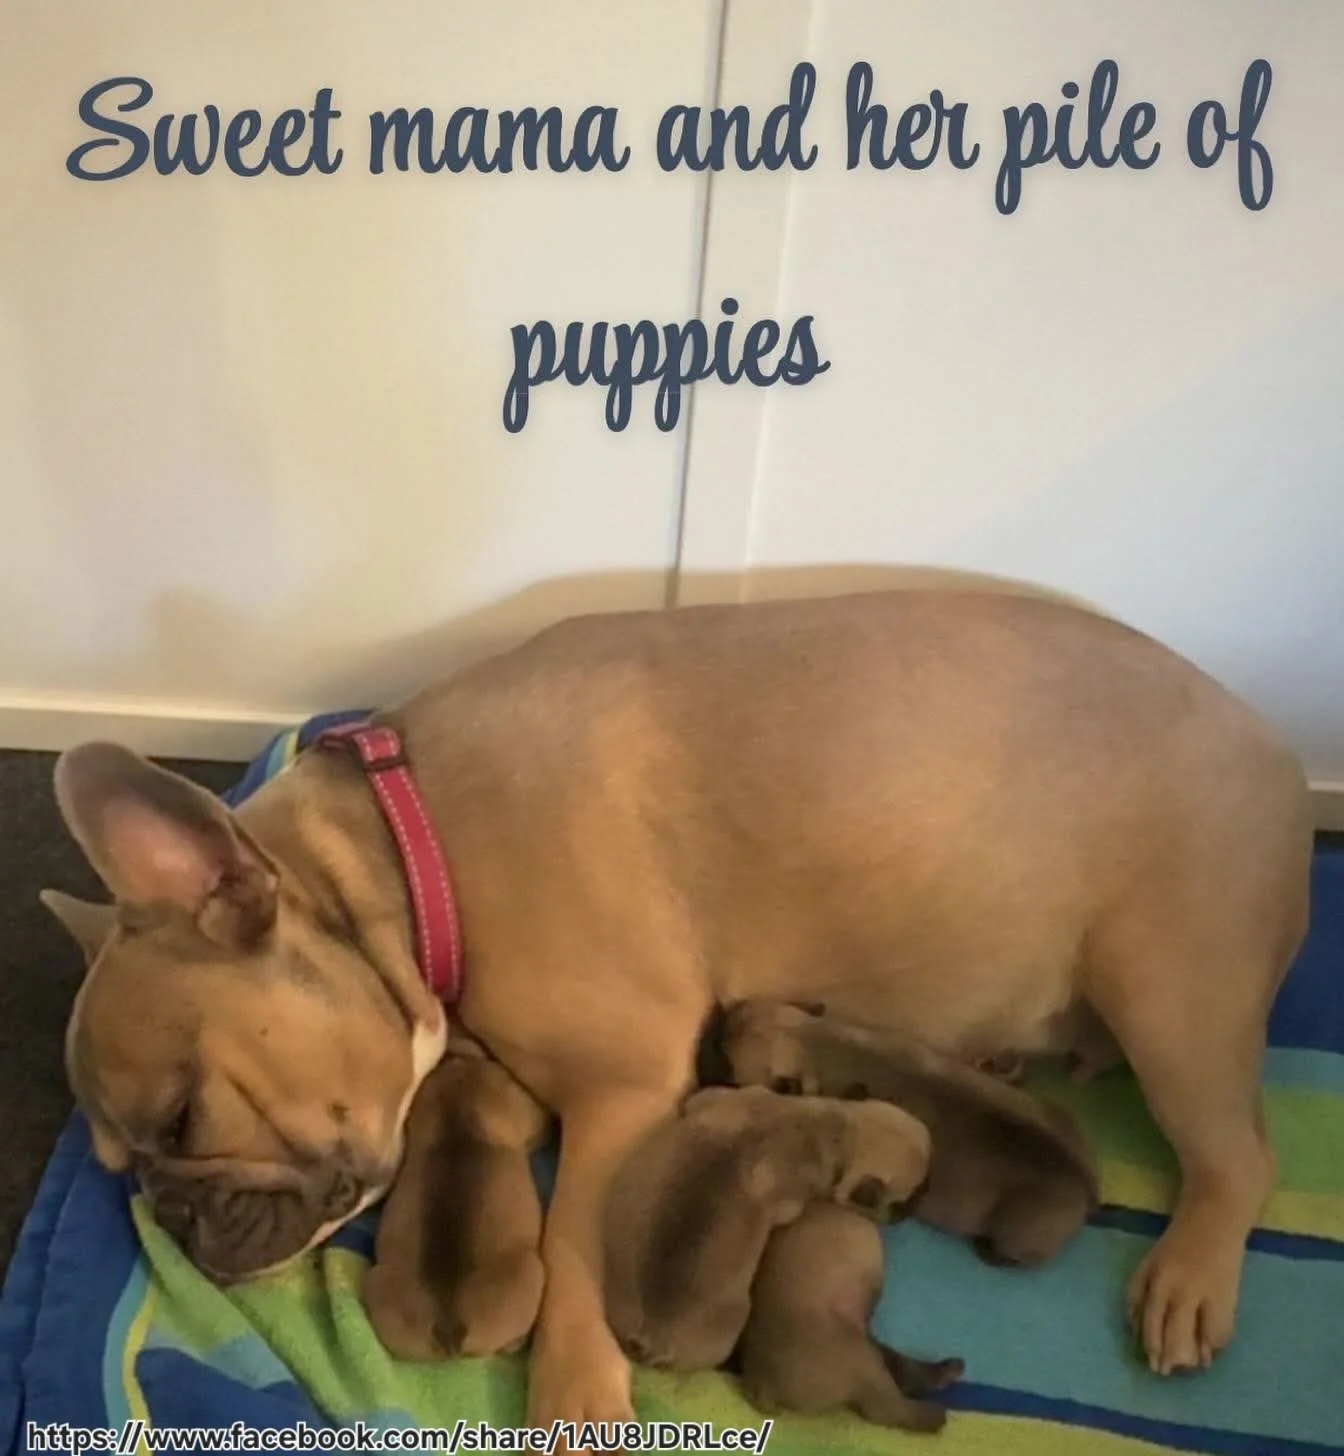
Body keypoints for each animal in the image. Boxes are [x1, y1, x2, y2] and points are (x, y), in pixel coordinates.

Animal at [603, 1084, 931, 1373]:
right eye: (902, 1202)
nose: (917, 1205)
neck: (835, 1130)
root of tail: (650, 1338)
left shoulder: (720, 1096)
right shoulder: (791, 1202)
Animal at [720, 1000, 1099, 1268]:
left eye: (728, 1062)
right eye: (739, 1013)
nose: (722, 1020)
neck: (811, 1039)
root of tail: (1088, 1186)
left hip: (1016, 1233)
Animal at [737, 1202, 964, 1433]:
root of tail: (761, 1380)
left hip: (867, 1346)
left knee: (905, 1371)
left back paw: (948, 1371)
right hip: (861, 1356)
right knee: (887, 1408)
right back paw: (934, 1415)